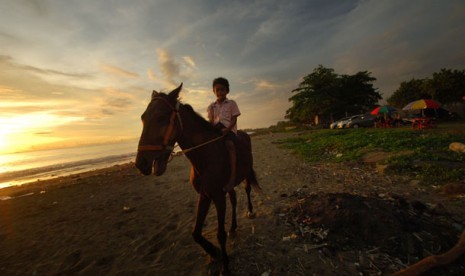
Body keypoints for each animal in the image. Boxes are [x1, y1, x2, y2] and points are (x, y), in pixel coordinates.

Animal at [134, 83, 260, 272]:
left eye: (162, 118)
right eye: (143, 117)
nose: (141, 163)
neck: (206, 156)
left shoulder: (217, 197)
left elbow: (220, 234)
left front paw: (225, 265)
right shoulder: (205, 195)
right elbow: (195, 233)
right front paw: (214, 252)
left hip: (245, 174)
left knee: (247, 189)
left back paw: (250, 211)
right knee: (234, 199)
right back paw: (233, 227)